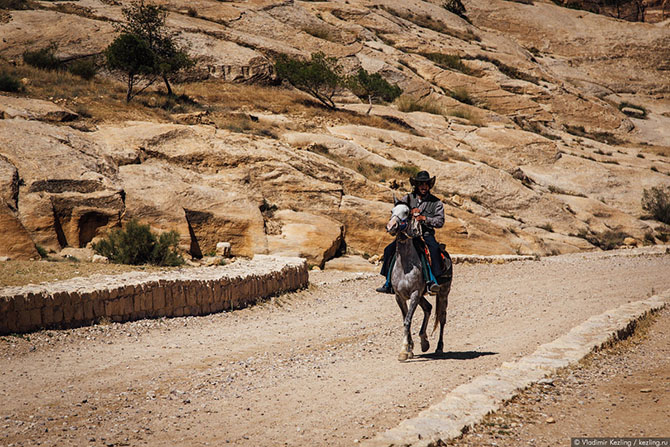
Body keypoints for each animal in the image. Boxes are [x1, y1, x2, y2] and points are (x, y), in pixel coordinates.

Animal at [388, 201, 452, 362]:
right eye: (392, 211)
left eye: (407, 212)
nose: (391, 226)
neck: (405, 265)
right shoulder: (399, 296)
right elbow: (406, 319)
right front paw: (409, 349)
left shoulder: (415, 294)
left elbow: (407, 320)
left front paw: (404, 350)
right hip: (422, 295)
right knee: (428, 308)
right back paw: (424, 342)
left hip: (443, 293)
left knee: (442, 317)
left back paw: (439, 347)